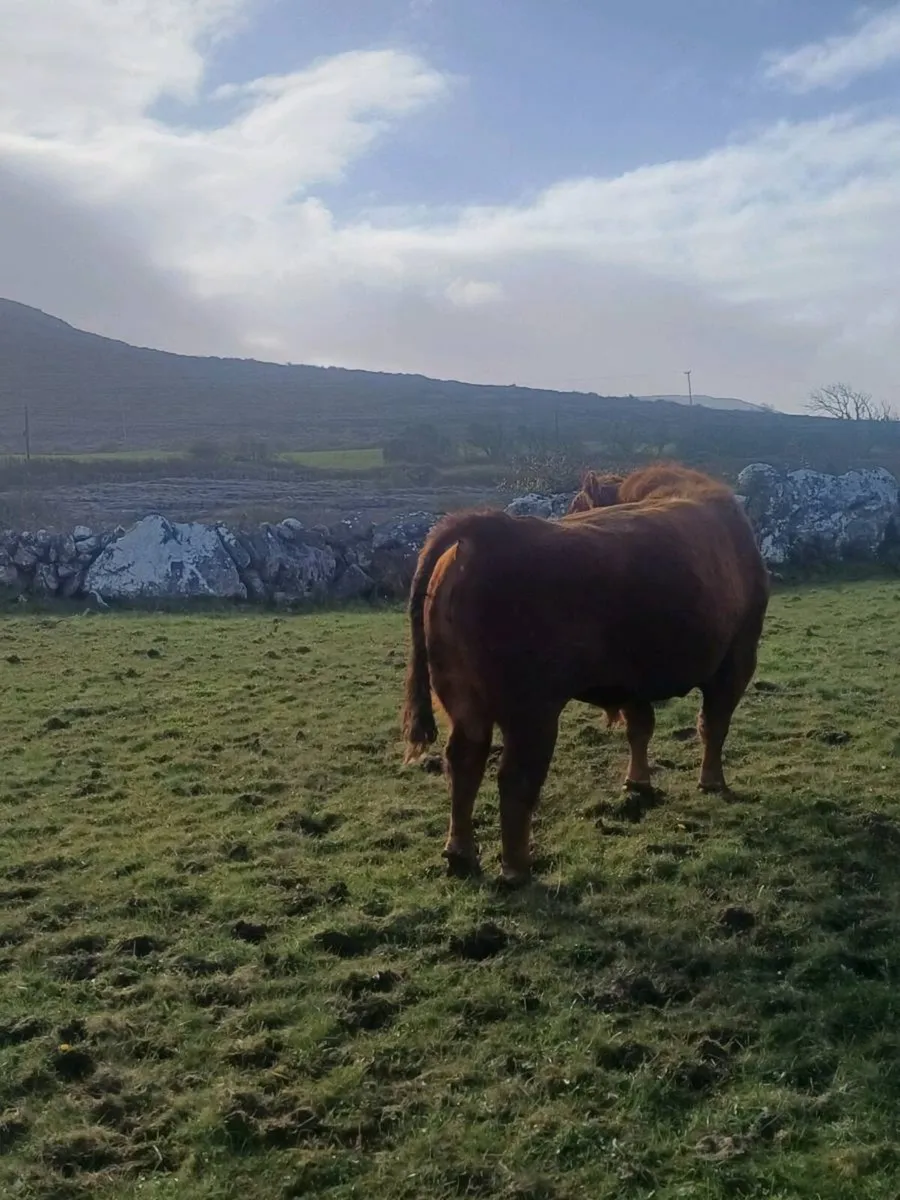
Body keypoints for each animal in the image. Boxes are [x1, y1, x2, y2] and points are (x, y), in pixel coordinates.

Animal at [402, 463, 769, 885]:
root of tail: (490, 528)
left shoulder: (631, 681)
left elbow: (641, 727)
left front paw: (638, 783)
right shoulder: (736, 658)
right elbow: (713, 725)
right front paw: (712, 782)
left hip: (464, 701)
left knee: (464, 762)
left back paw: (460, 854)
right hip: (532, 711)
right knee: (515, 779)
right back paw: (517, 868)